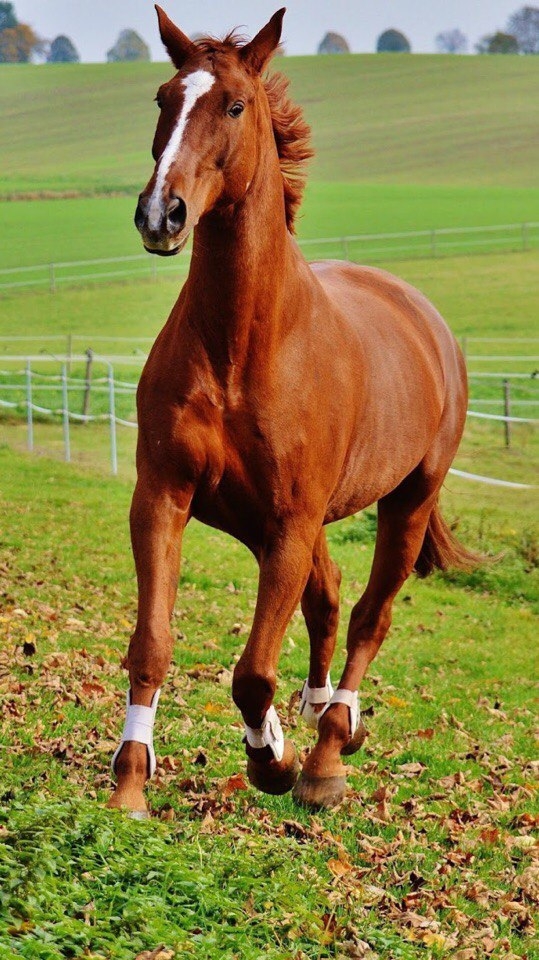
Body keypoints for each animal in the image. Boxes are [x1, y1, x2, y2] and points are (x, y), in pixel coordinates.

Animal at [108, 6, 477, 816]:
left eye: (235, 106)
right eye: (163, 98)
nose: (160, 214)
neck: (242, 347)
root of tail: (427, 320)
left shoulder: (289, 521)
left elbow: (252, 671)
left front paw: (271, 760)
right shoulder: (165, 498)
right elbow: (153, 643)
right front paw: (128, 785)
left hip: (404, 503)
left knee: (369, 615)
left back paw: (329, 750)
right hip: (266, 522)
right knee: (329, 598)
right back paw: (314, 717)